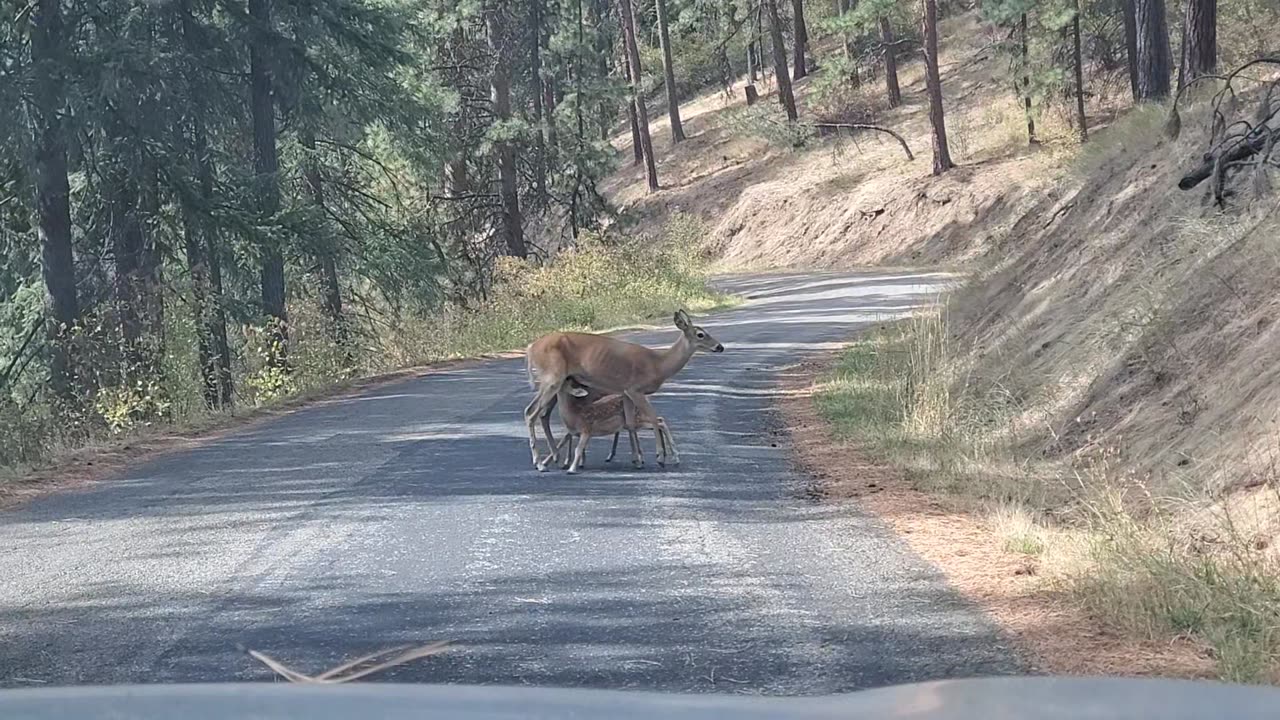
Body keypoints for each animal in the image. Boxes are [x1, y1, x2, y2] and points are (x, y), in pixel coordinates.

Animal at [519, 307, 721, 466]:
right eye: (700, 334)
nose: (720, 347)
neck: (658, 364)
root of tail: (531, 348)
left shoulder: (625, 391)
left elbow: (630, 423)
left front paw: (638, 458)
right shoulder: (635, 389)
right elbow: (653, 418)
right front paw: (660, 456)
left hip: (557, 382)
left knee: (543, 414)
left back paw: (554, 457)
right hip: (552, 378)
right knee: (531, 412)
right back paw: (540, 462)